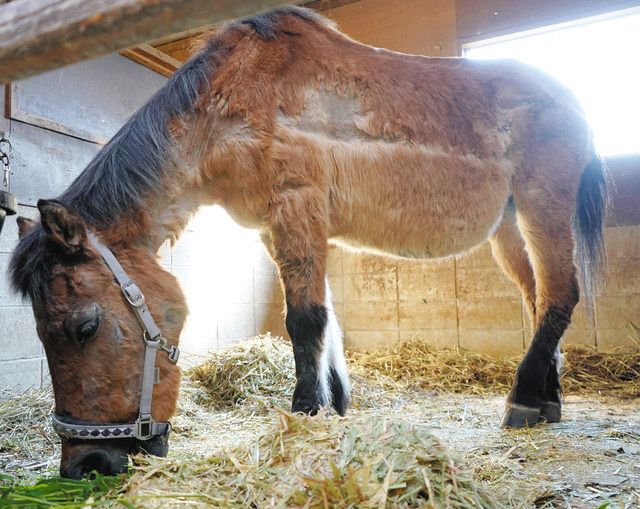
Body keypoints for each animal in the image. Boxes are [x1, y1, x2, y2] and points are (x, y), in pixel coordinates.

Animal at [12, 6, 608, 476]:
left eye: (84, 327)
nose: (85, 464)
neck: (232, 99)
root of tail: (572, 102)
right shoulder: (280, 227)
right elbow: (328, 319)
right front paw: (335, 402)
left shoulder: (296, 206)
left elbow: (304, 319)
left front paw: (304, 410)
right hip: (509, 227)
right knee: (538, 300)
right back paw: (548, 399)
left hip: (542, 206)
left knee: (561, 296)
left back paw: (523, 401)